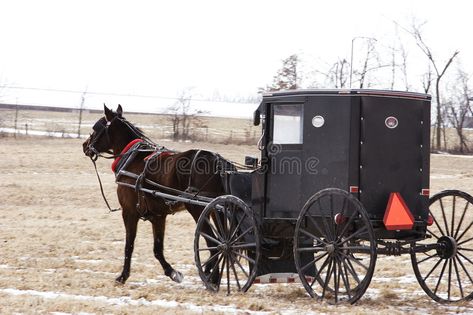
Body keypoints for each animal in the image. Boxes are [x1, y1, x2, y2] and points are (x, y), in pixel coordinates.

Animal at [85, 105, 234, 286]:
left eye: (96, 128)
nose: (85, 145)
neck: (133, 158)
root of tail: (217, 161)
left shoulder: (129, 213)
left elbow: (129, 246)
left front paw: (123, 276)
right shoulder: (158, 216)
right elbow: (157, 249)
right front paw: (172, 272)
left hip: (198, 209)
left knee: (213, 243)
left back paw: (211, 277)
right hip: (216, 209)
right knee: (220, 240)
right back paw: (214, 276)